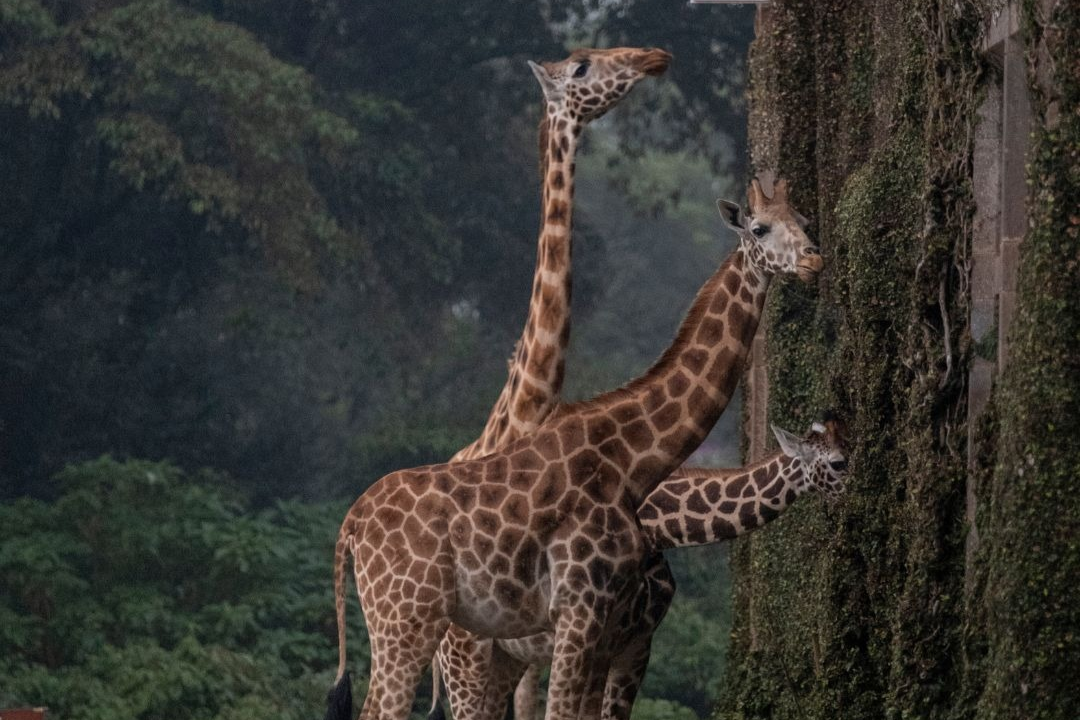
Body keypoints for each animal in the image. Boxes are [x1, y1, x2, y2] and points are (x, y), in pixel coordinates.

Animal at [433, 417, 848, 720]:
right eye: (839, 463)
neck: (658, 528)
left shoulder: (636, 645)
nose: (855, 496)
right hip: (463, 653)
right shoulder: (604, 641)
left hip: (506, 657)